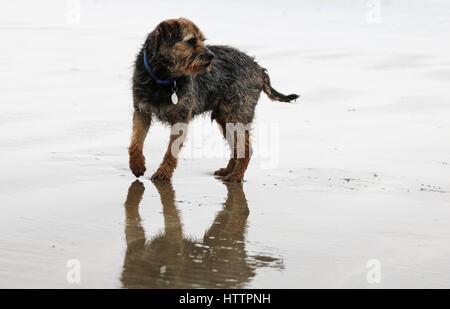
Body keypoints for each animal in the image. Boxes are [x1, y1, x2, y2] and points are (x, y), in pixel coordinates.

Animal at [129, 18, 298, 182]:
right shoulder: (141, 112)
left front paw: (163, 173)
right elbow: (135, 142)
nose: (211, 56)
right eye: (191, 41)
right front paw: (137, 165)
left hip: (237, 115)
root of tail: (259, 68)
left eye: (203, 40)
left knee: (245, 149)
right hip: (225, 118)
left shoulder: (181, 119)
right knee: (236, 148)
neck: (162, 78)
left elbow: (172, 150)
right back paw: (228, 171)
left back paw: (236, 176)